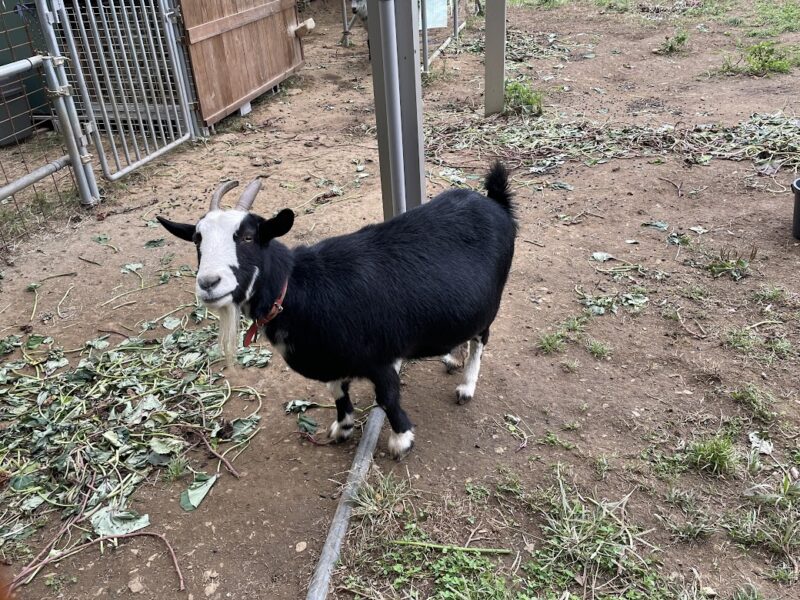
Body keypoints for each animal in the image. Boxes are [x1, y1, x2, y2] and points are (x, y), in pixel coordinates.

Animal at [159, 162, 516, 458]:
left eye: (247, 237)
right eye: (197, 240)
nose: (208, 283)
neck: (298, 288)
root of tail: (495, 202)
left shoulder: (380, 356)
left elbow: (388, 397)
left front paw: (401, 440)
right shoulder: (333, 358)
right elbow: (336, 390)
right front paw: (342, 427)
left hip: (491, 301)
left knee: (481, 338)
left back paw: (467, 385)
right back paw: (452, 356)